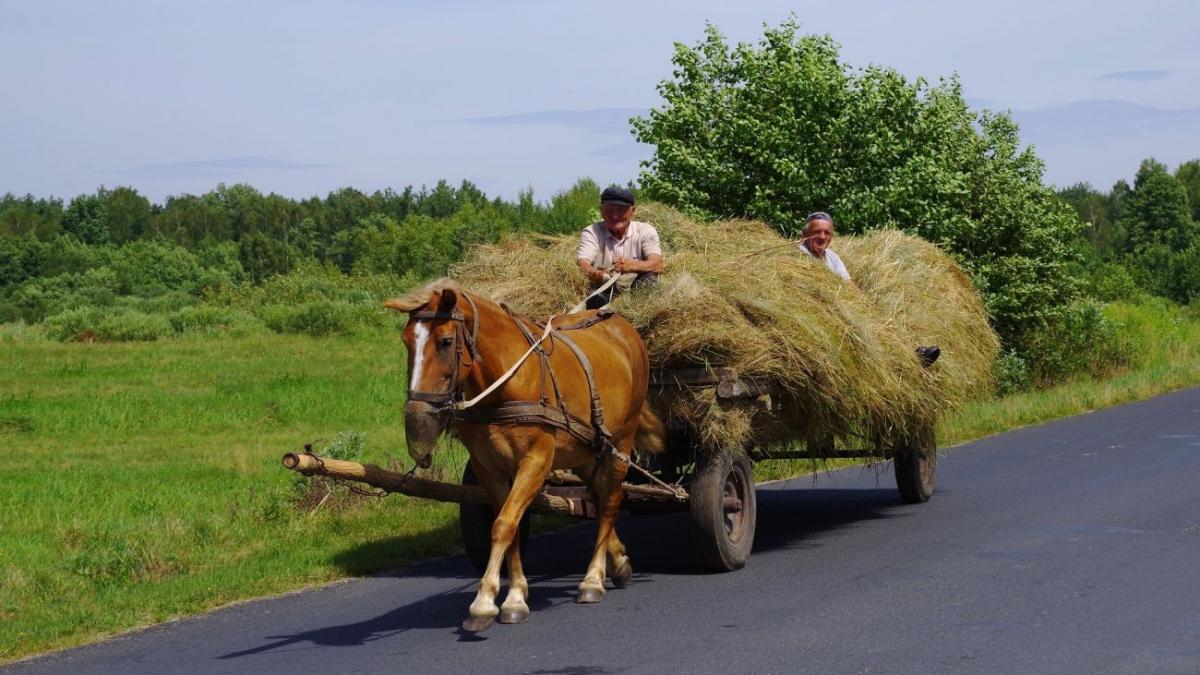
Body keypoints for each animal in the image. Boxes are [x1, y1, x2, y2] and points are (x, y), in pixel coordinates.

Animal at [384, 276, 667, 629]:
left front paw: (484, 602)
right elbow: (511, 526)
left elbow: (504, 524)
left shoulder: (535, 462)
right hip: (585, 450)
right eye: (406, 341)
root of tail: (621, 324)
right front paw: (515, 595)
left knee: (611, 501)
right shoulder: (488, 469)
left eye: (446, 341)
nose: (417, 416)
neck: (504, 386)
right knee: (600, 495)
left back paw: (593, 578)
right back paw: (618, 561)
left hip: (621, 442)